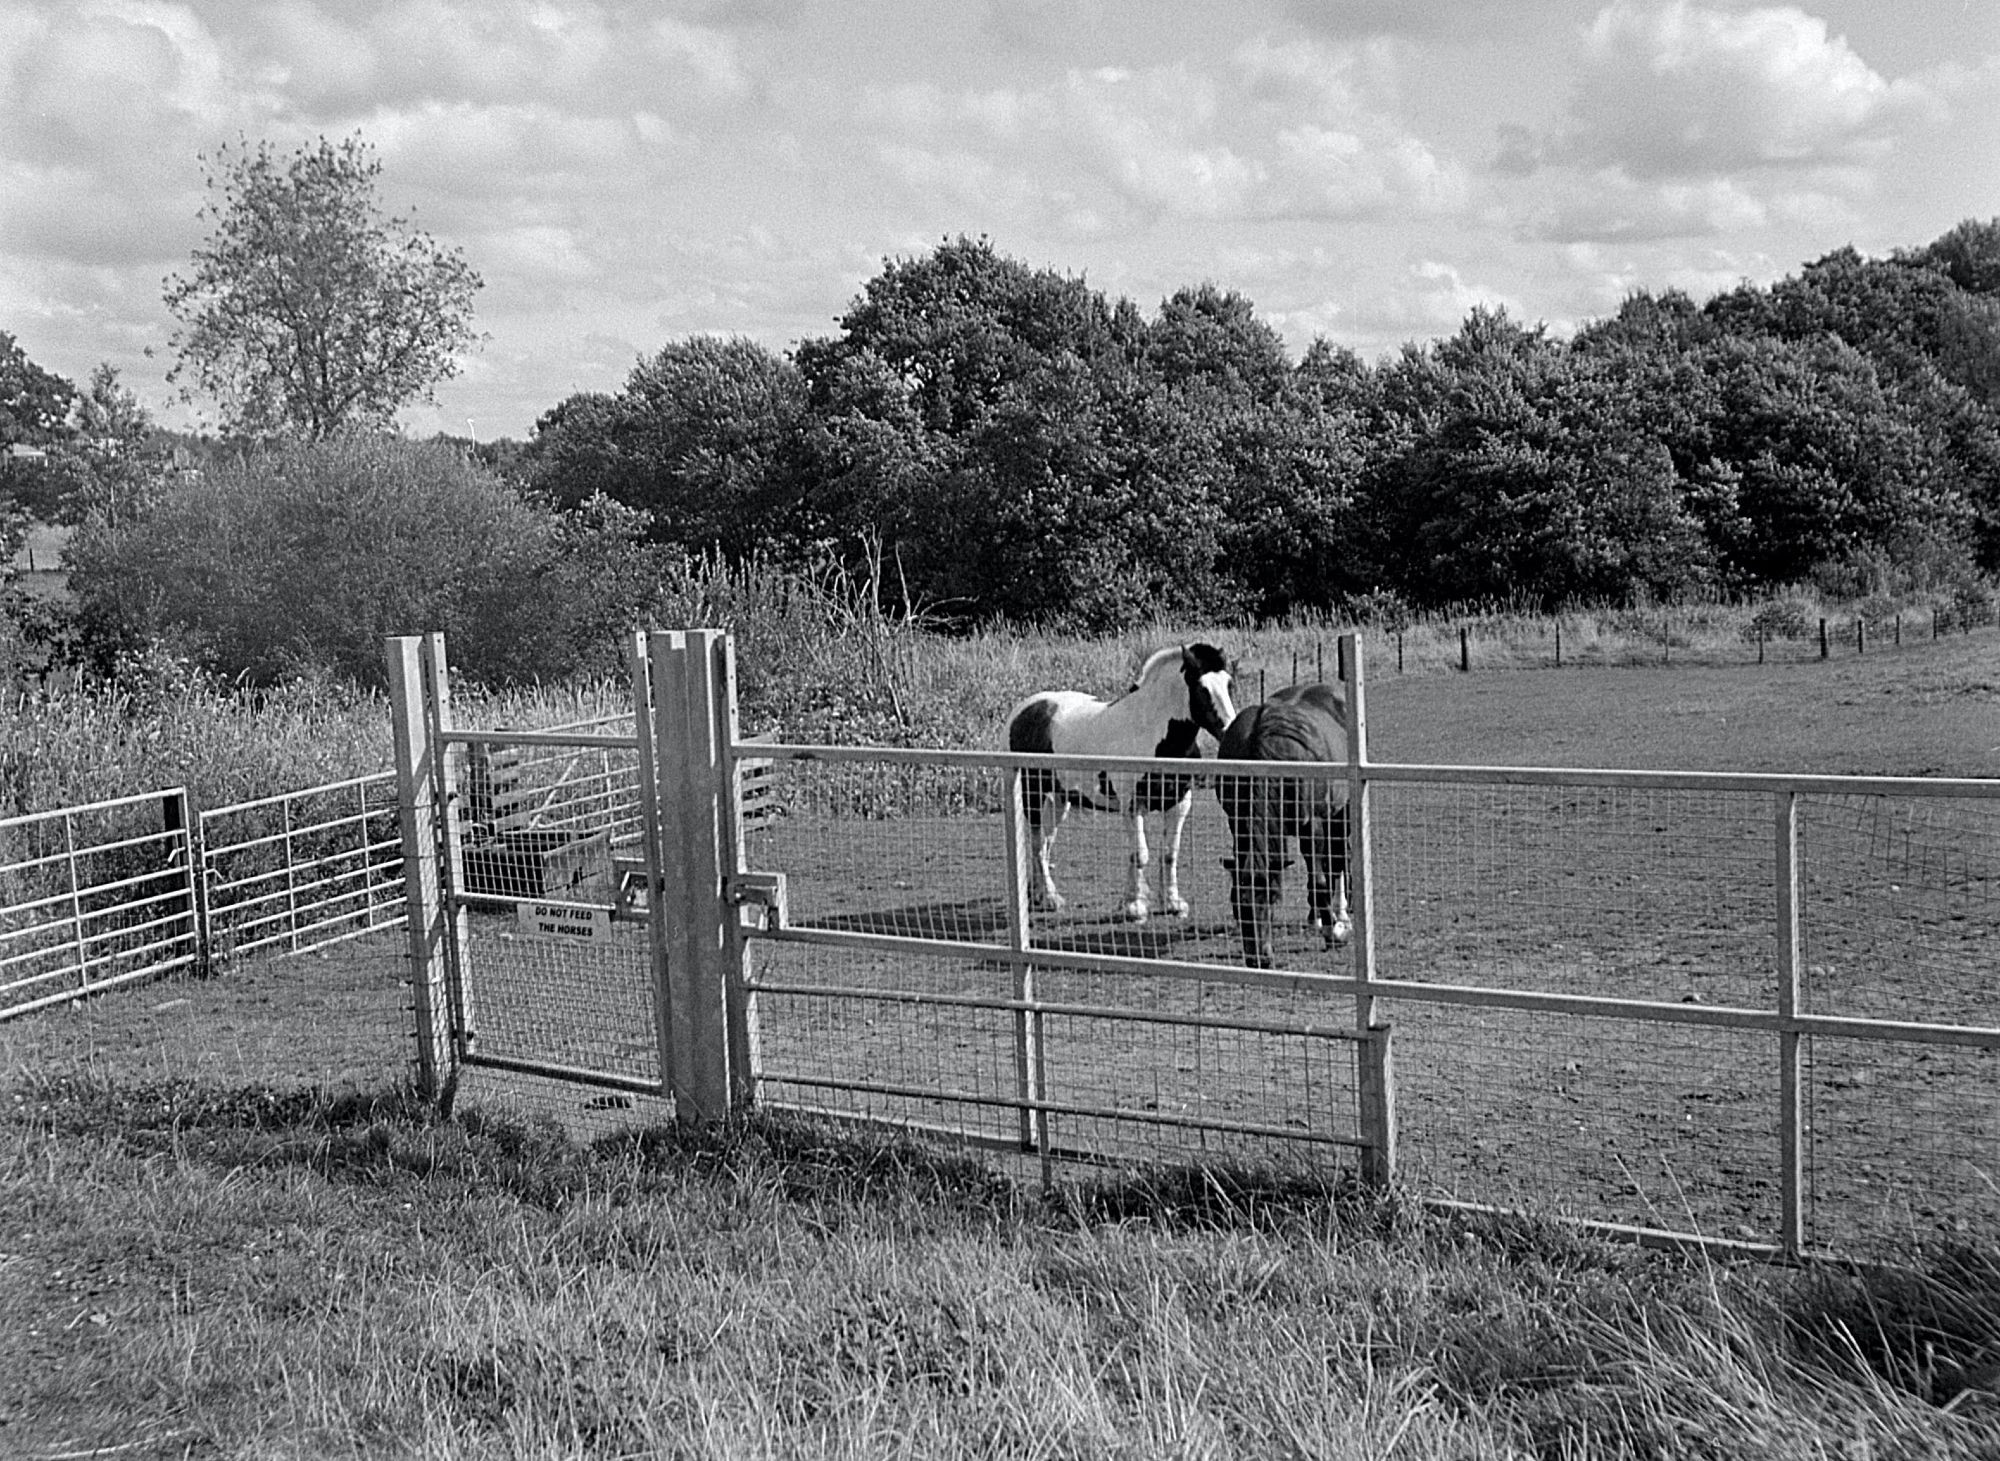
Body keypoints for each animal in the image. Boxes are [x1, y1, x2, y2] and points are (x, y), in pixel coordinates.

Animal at [1016, 644, 1232, 916]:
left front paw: (1172, 903)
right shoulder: (1132, 804)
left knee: (1045, 843)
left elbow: (1169, 853)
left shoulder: (1179, 802)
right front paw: (1134, 905)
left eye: (1229, 683)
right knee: (1037, 844)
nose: (1229, 730)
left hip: (1060, 801)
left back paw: (1039, 896)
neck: (1152, 733)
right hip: (1032, 797)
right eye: (1202, 689)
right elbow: (1139, 854)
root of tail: (1023, 712)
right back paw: (1051, 898)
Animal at [1208, 684, 1352, 968]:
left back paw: (1339, 916)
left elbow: (1319, 880)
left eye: (1272, 899)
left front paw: (1333, 933)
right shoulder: (1236, 822)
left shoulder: (1313, 825)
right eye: (1237, 904)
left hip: (1340, 813)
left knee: (1339, 859)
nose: (1259, 959)